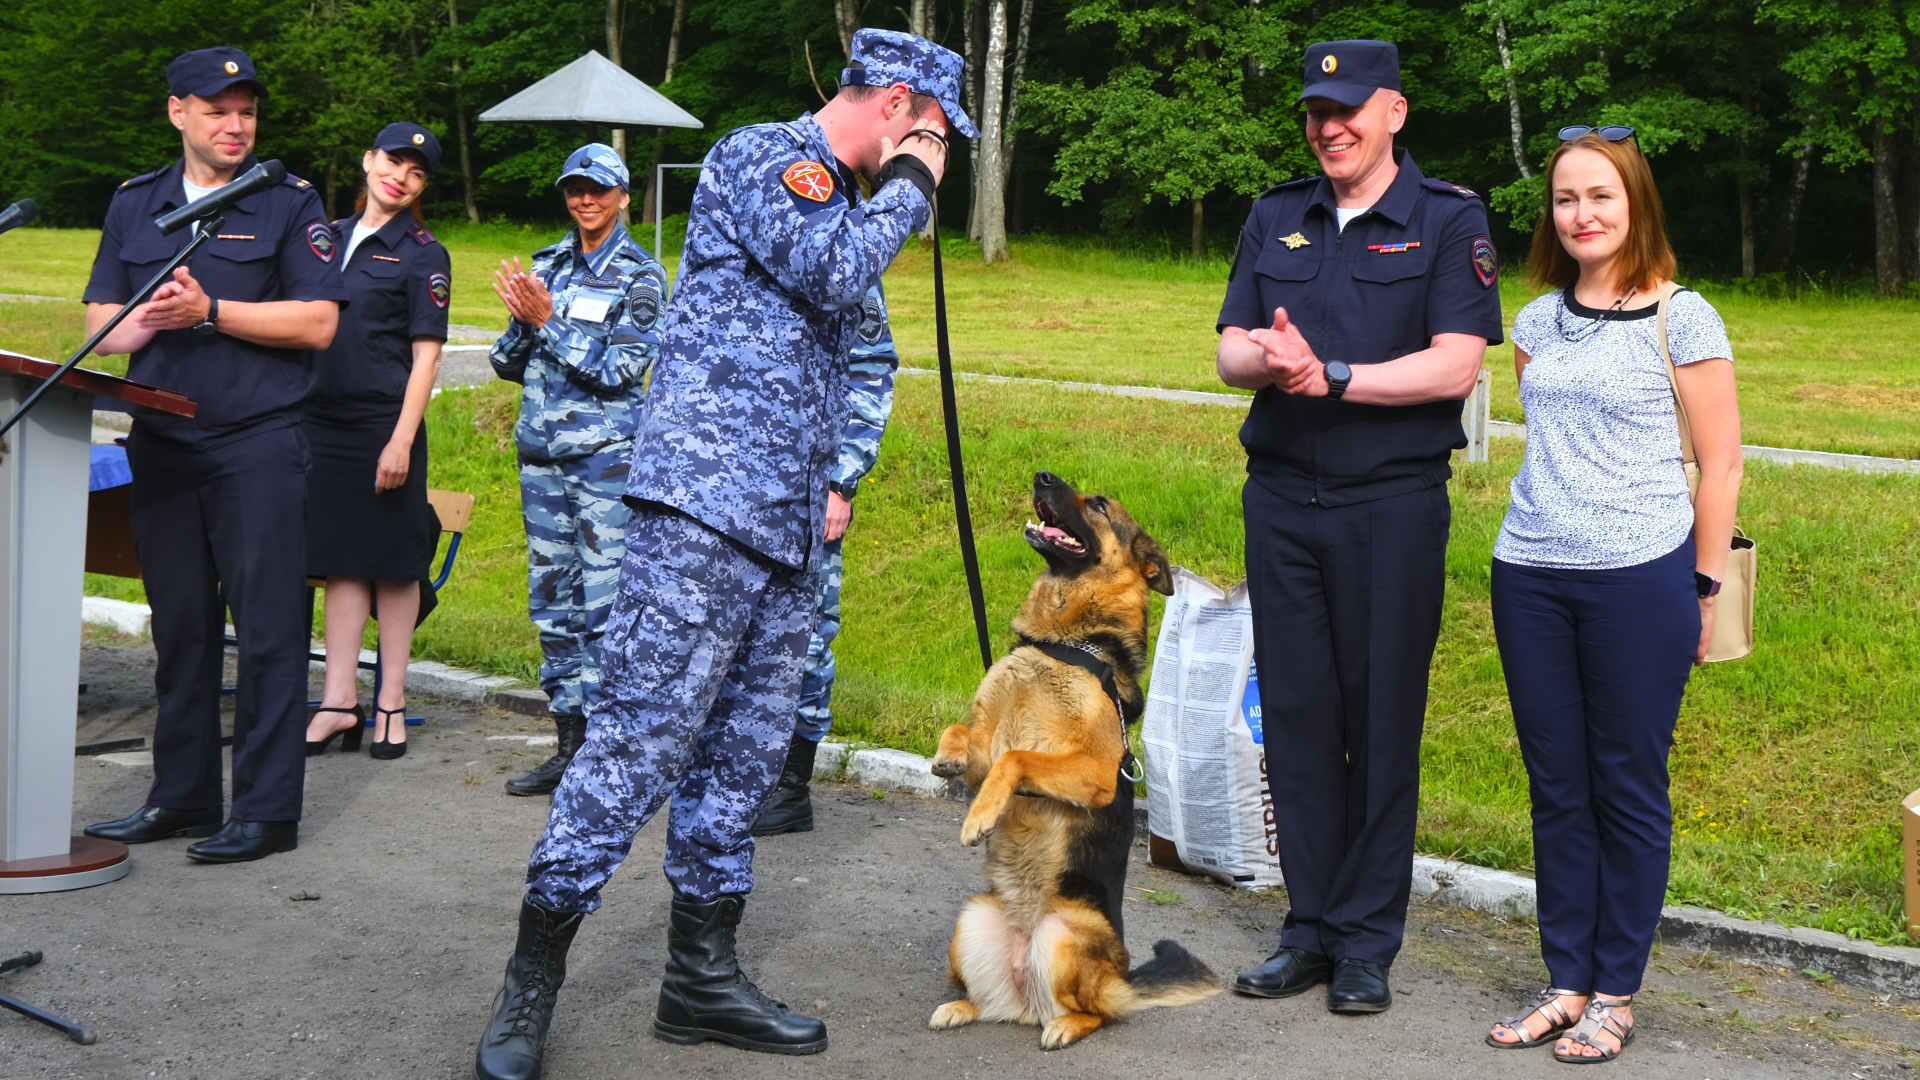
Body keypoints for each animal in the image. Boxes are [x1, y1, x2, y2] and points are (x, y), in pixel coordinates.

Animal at [925, 468, 1213, 1045]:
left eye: (1099, 504)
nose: (1041, 476)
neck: (1063, 640)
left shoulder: (1093, 773)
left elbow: (1017, 758)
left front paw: (978, 818)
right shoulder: (986, 746)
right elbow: (962, 730)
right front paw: (947, 760)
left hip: (1066, 935)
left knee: (1101, 1011)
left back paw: (1066, 1025)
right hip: (970, 921)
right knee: (992, 1003)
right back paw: (962, 1007)